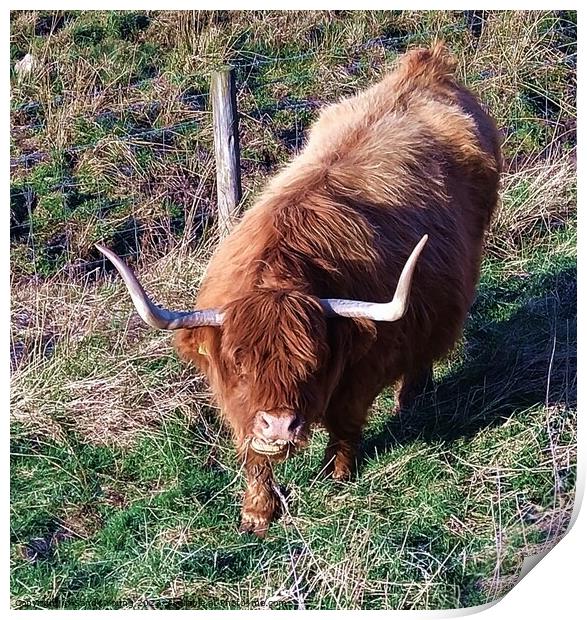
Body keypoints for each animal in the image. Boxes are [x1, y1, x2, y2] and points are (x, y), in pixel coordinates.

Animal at [96, 44, 500, 536]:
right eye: (239, 360)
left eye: (314, 360)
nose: (279, 426)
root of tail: (423, 67)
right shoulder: (238, 402)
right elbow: (252, 452)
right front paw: (257, 511)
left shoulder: (362, 369)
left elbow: (346, 421)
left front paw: (337, 475)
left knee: (423, 354)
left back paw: (410, 404)